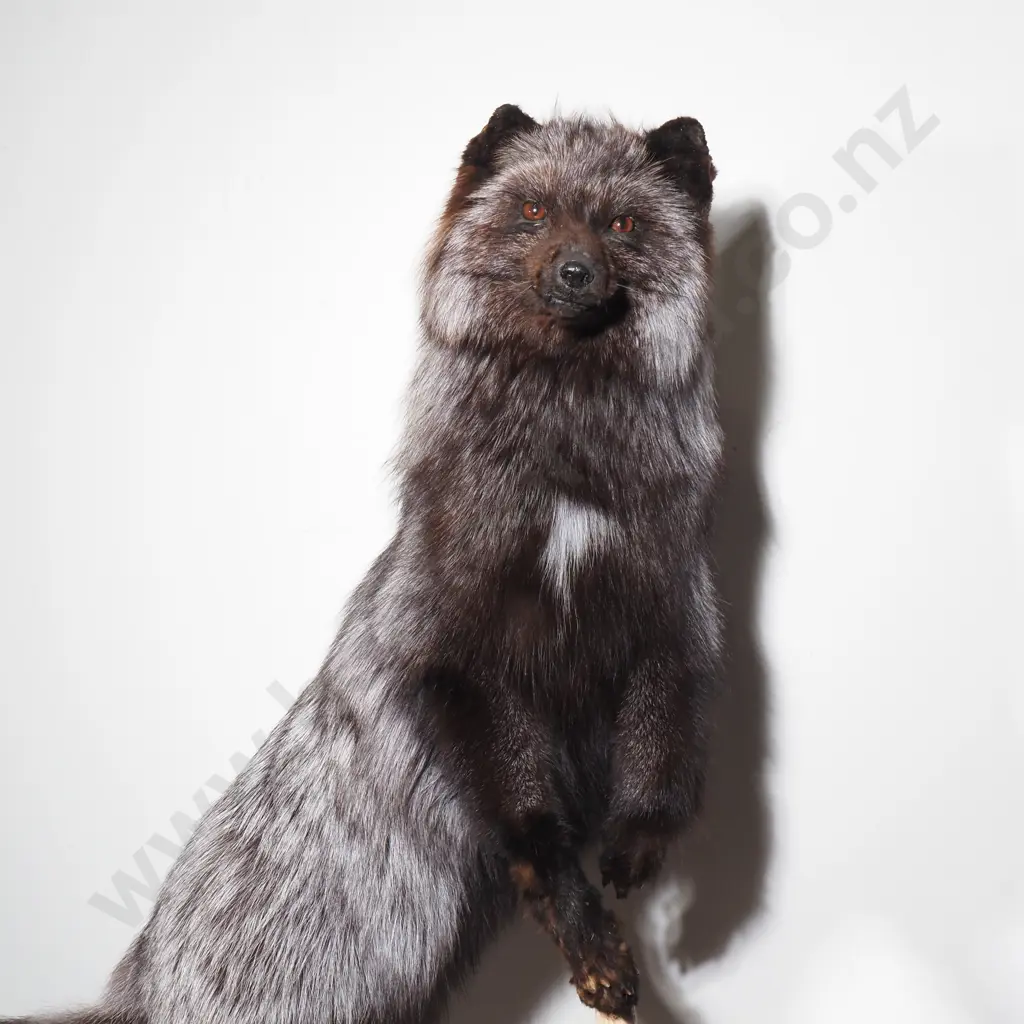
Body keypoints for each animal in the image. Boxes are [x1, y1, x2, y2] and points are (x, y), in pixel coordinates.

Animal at [3, 104, 723, 1024]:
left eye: (624, 224)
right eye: (532, 211)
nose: (574, 270)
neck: (565, 486)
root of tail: (139, 988)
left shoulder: (670, 617)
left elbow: (659, 759)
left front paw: (637, 857)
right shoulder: (456, 656)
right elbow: (537, 834)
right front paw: (595, 948)